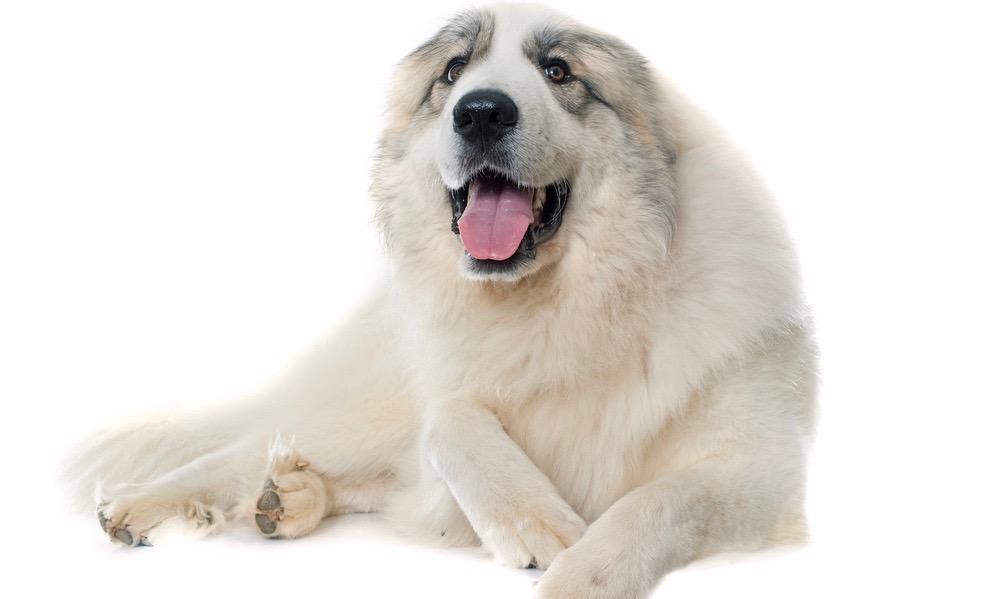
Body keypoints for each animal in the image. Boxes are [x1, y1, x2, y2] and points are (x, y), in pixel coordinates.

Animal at [62, 3, 816, 596]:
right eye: (454, 71)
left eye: (559, 71)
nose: (480, 112)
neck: (573, 304)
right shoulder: (448, 405)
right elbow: (451, 420)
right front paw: (535, 519)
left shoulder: (757, 477)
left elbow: (654, 503)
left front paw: (576, 574)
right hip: (360, 409)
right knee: (246, 446)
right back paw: (143, 504)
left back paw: (290, 500)